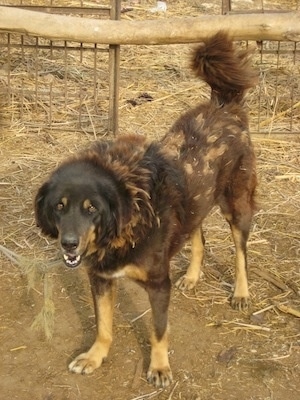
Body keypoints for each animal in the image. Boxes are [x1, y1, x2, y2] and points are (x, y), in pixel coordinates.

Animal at [34, 31, 255, 388]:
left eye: (92, 209)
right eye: (59, 207)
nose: (68, 244)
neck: (126, 222)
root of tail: (224, 106)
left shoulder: (158, 284)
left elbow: (158, 330)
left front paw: (160, 368)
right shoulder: (100, 278)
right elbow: (103, 325)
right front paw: (95, 356)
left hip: (236, 204)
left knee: (240, 252)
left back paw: (241, 292)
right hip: (196, 200)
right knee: (198, 235)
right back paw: (192, 276)